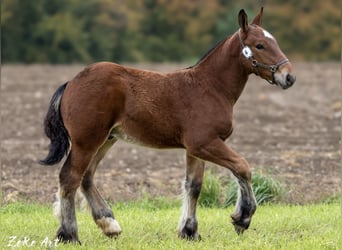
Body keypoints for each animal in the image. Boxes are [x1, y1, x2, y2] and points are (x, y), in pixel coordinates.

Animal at [40, 8, 296, 244]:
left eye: (274, 42)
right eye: (260, 45)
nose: (289, 77)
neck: (210, 87)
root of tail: (71, 83)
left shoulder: (196, 149)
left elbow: (194, 185)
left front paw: (189, 231)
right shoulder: (204, 143)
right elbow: (242, 166)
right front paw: (242, 217)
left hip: (105, 140)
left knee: (86, 177)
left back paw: (109, 224)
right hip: (87, 141)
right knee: (70, 177)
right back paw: (69, 235)